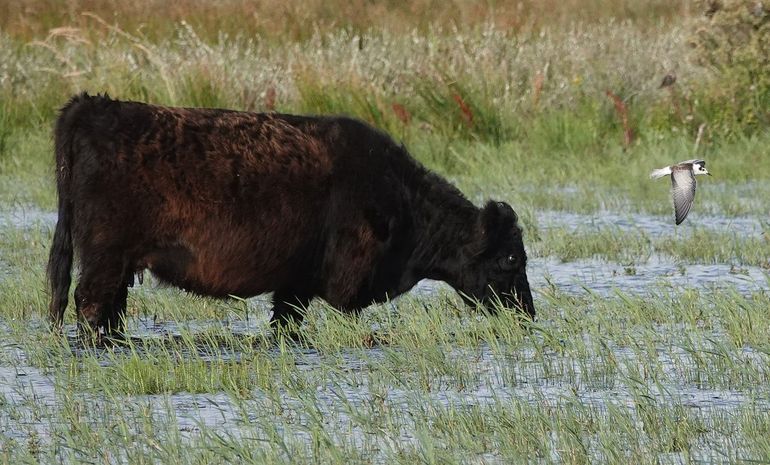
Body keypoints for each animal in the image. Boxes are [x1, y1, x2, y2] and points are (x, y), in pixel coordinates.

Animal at [45, 93, 532, 334]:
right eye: (511, 258)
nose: (527, 316)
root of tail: (95, 105)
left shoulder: (293, 283)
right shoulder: (305, 282)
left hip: (119, 263)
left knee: (109, 311)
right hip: (106, 257)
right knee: (90, 306)